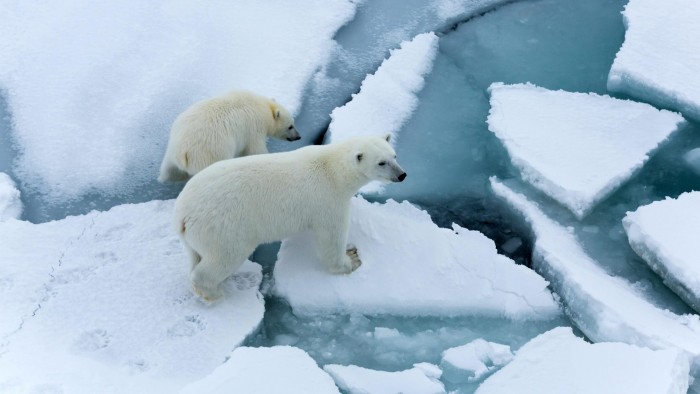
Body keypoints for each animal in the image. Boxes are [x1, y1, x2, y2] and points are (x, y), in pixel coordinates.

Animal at [159, 91, 300, 182]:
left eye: (293, 123)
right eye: (290, 126)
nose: (298, 137)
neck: (263, 107)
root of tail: (183, 152)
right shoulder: (253, 129)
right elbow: (255, 150)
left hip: (171, 152)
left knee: (169, 171)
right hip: (211, 153)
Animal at [172, 134, 408, 300]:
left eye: (394, 155)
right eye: (381, 162)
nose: (402, 174)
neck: (333, 169)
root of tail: (182, 214)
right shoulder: (328, 199)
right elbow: (331, 236)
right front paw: (351, 260)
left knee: (196, 256)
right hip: (223, 226)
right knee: (223, 257)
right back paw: (213, 293)